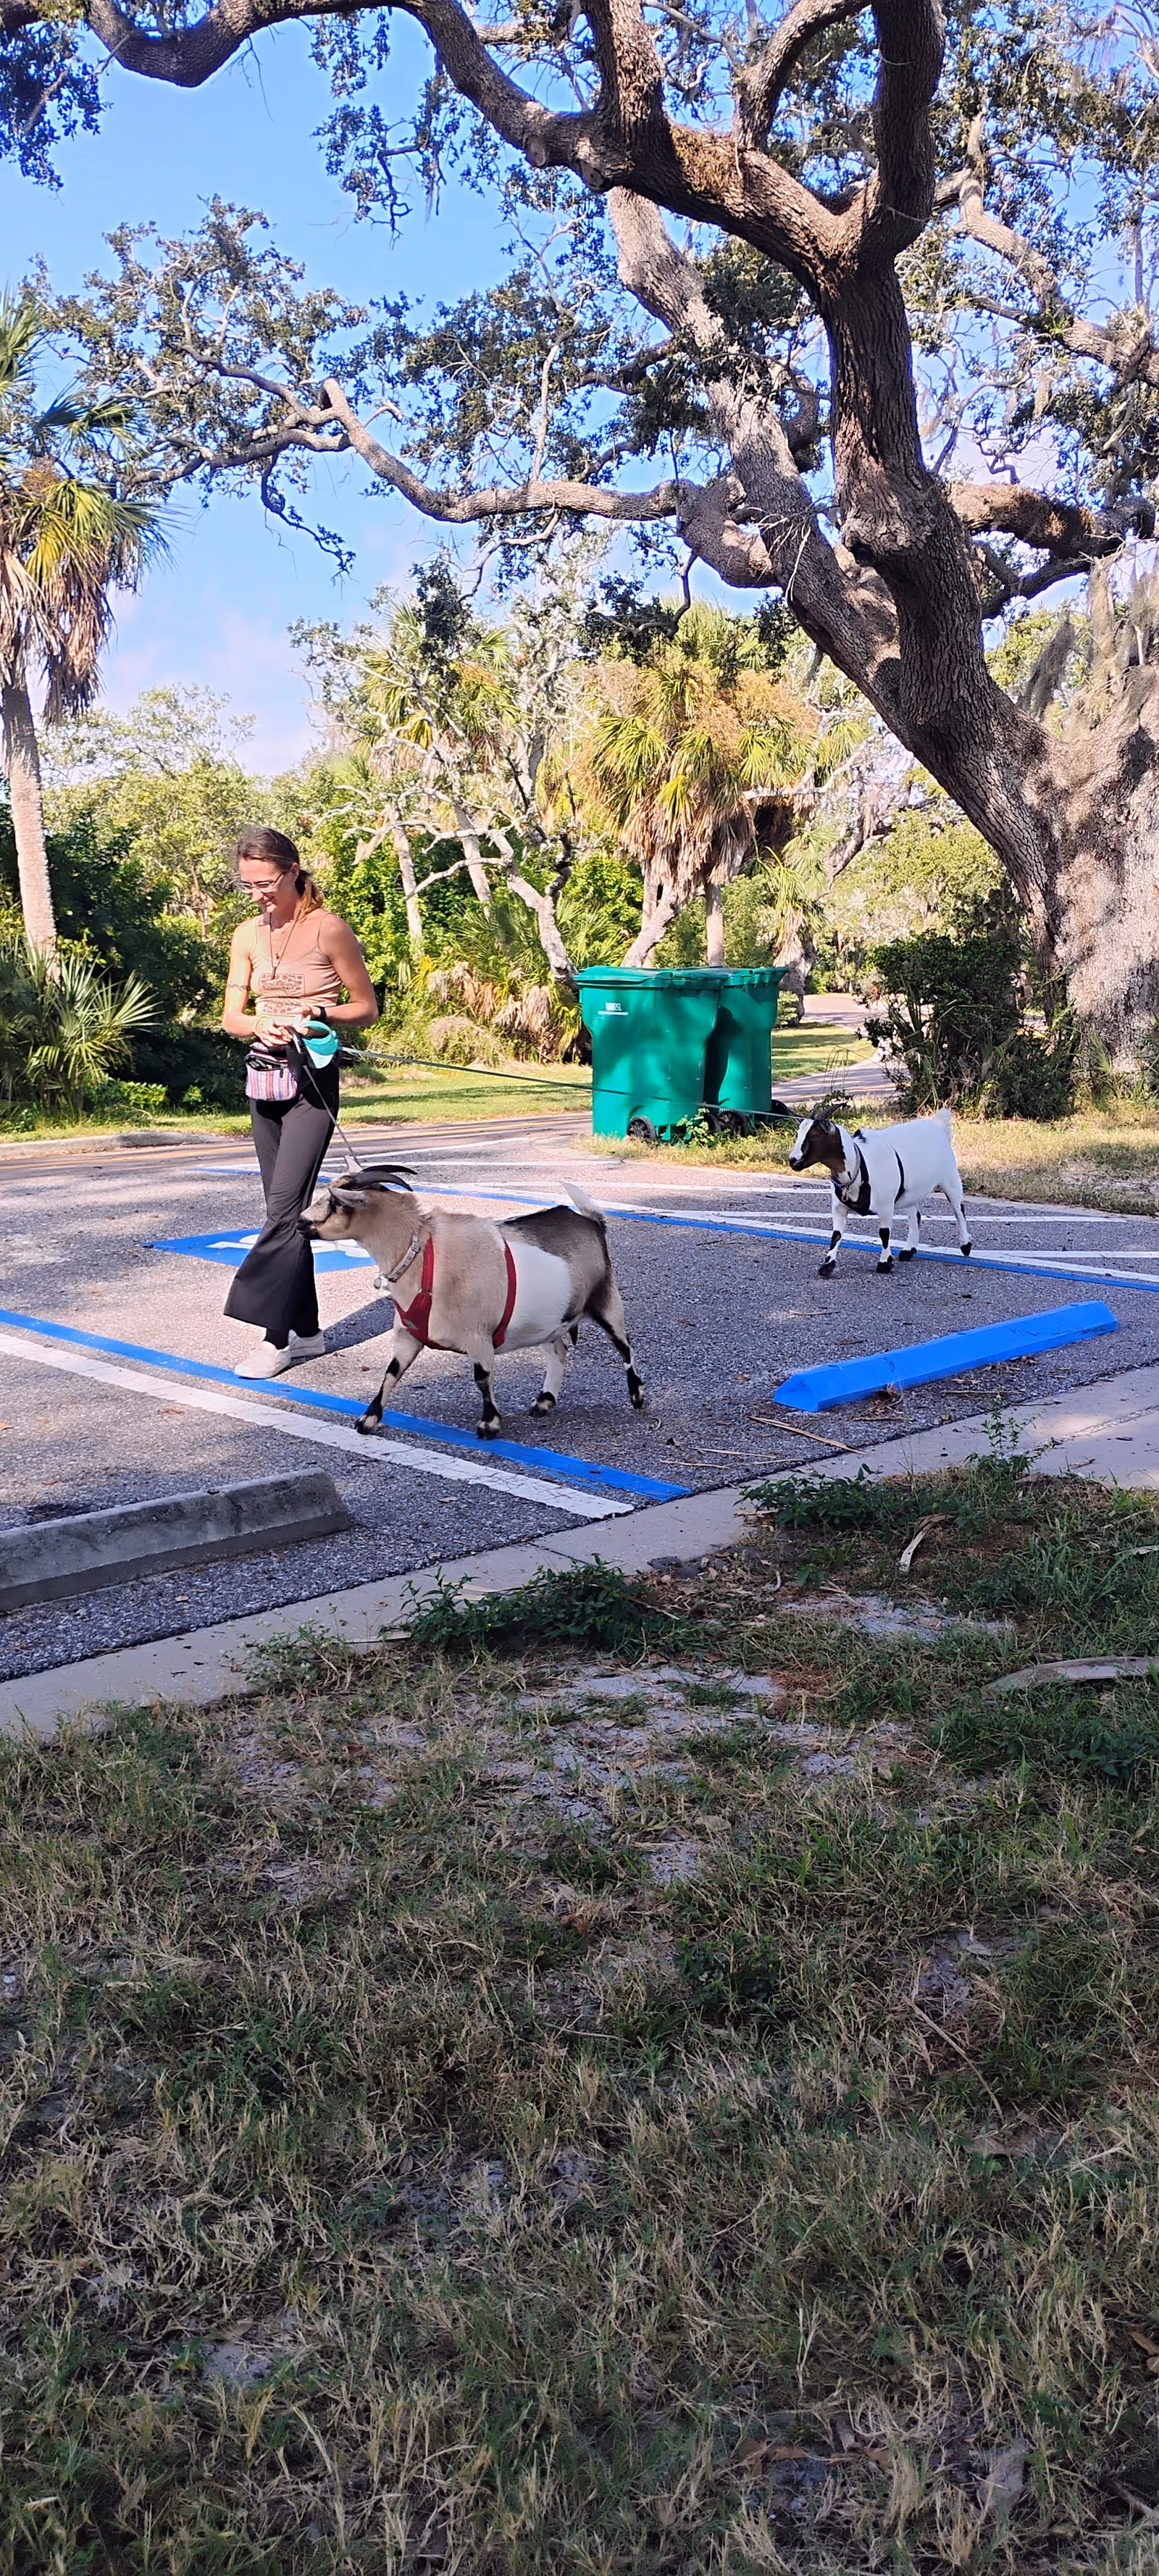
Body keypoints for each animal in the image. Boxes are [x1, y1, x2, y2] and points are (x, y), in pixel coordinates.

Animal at [301, 1165, 644, 1438]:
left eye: (334, 1202)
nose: (301, 1221)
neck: (426, 1256)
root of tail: (591, 1221)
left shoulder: (478, 1337)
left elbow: (482, 1377)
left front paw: (489, 1425)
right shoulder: (409, 1334)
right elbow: (391, 1372)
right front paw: (368, 1420)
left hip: (605, 1300)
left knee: (624, 1346)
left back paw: (637, 1396)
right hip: (549, 1321)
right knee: (558, 1351)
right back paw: (544, 1401)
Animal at [787, 1107, 973, 1276]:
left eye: (814, 1136)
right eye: (798, 1134)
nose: (793, 1160)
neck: (859, 1163)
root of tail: (938, 1126)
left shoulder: (886, 1206)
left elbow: (884, 1233)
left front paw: (884, 1264)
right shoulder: (839, 1208)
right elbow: (836, 1235)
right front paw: (827, 1266)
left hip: (950, 1178)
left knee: (958, 1210)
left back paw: (966, 1245)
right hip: (910, 1192)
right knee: (915, 1215)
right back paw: (909, 1250)